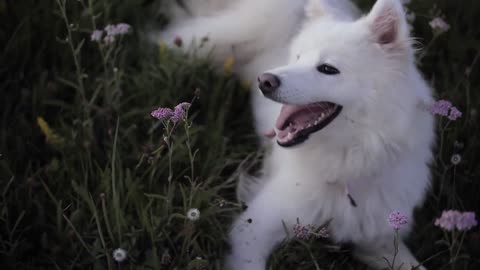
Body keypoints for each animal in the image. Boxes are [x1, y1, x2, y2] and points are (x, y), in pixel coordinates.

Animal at [158, 0, 436, 268]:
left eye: (328, 69)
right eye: (298, 57)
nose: (264, 80)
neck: (349, 163)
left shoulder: (380, 243)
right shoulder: (253, 229)